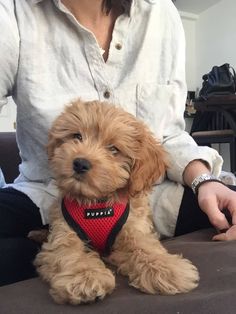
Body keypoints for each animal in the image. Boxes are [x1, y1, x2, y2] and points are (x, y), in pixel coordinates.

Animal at [34, 98, 198, 304]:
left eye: (113, 149)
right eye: (76, 136)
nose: (80, 163)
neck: (96, 203)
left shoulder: (133, 227)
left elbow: (145, 246)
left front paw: (166, 269)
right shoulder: (63, 231)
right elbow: (69, 253)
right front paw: (85, 277)